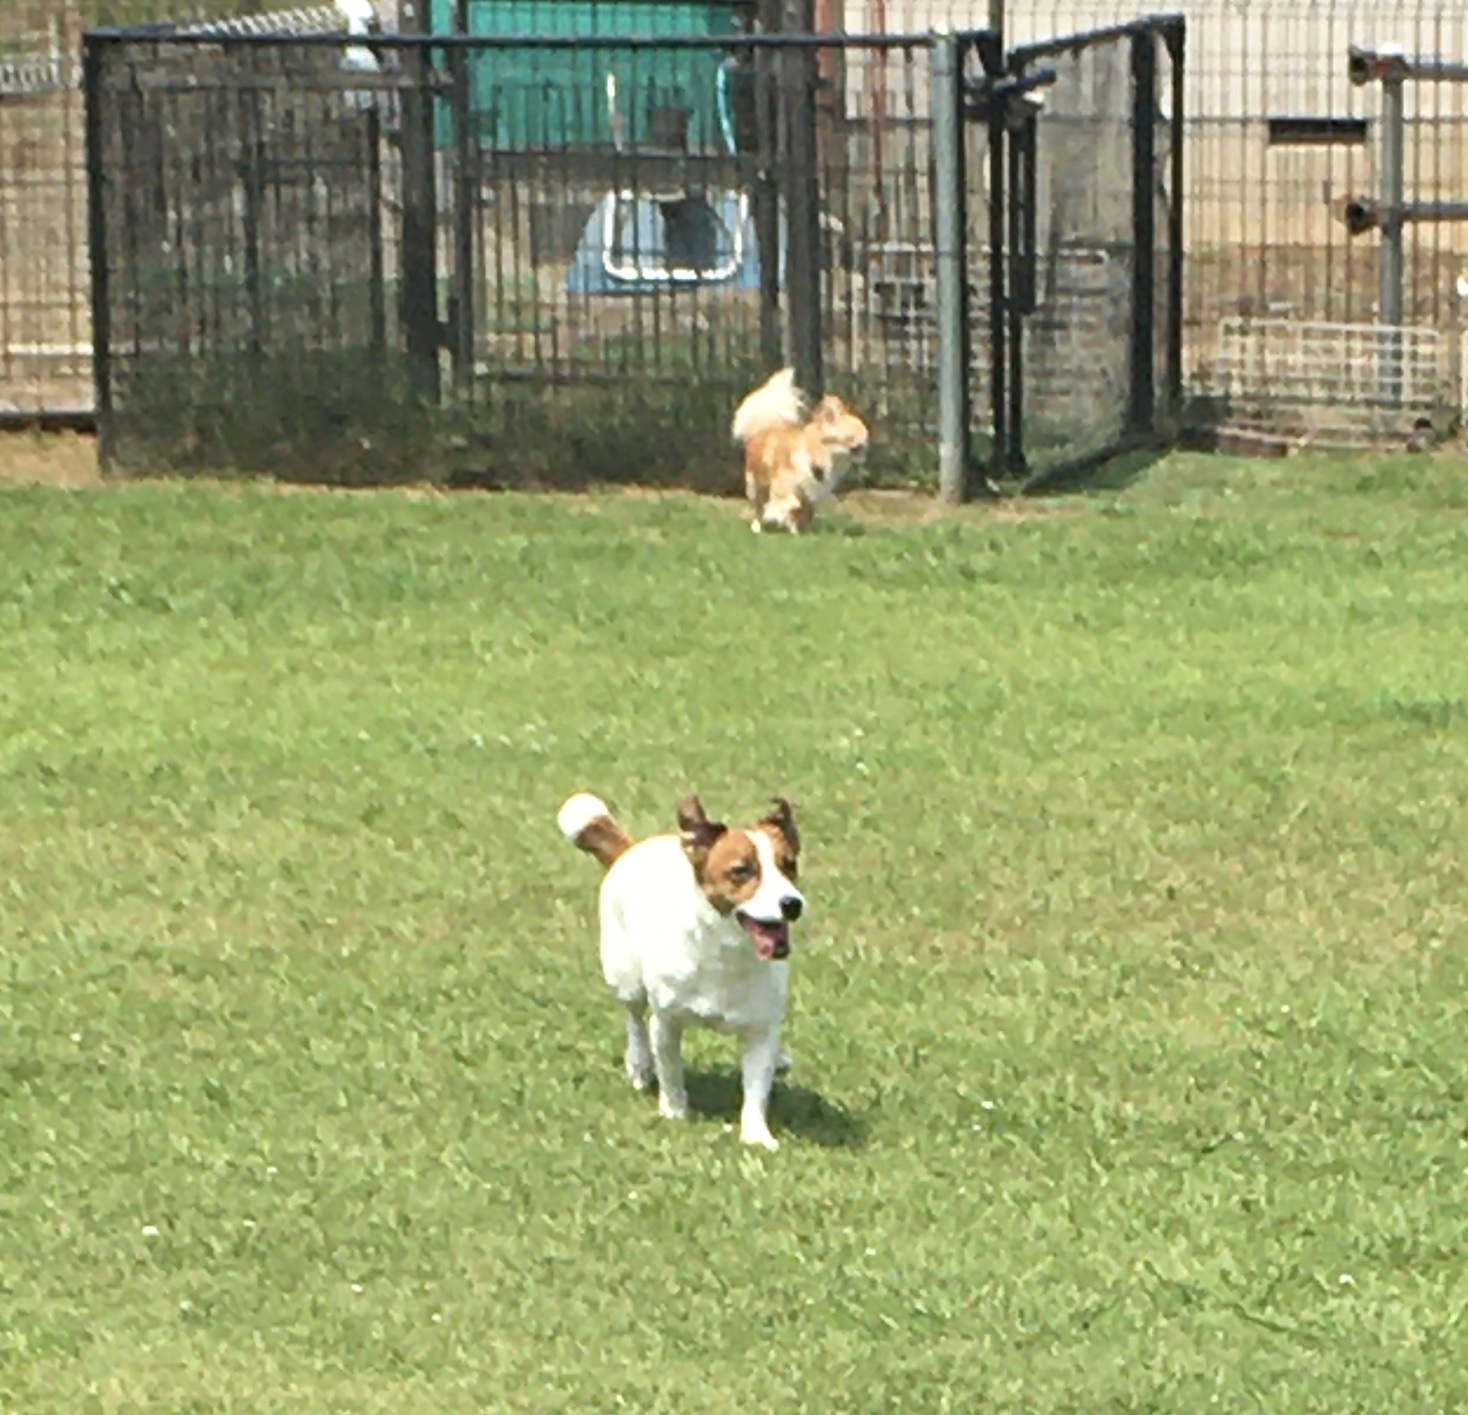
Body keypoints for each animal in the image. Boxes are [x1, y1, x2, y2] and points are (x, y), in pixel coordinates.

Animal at [557, 790, 805, 1150]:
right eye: (742, 871)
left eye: (790, 865)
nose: (792, 904)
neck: (725, 955)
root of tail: (630, 849)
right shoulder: (667, 1022)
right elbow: (671, 1068)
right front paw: (674, 1110)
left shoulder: (762, 1029)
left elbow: (757, 1087)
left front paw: (756, 1135)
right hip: (625, 977)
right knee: (634, 1019)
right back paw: (640, 1064)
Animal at [731, 367, 870, 534]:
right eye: (854, 435)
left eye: (865, 434)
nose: (867, 442)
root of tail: (766, 426)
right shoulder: (782, 487)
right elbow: (791, 503)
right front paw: (776, 514)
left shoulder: (811, 495)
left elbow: (804, 513)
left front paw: (800, 531)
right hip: (754, 485)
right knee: (758, 507)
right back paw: (758, 527)